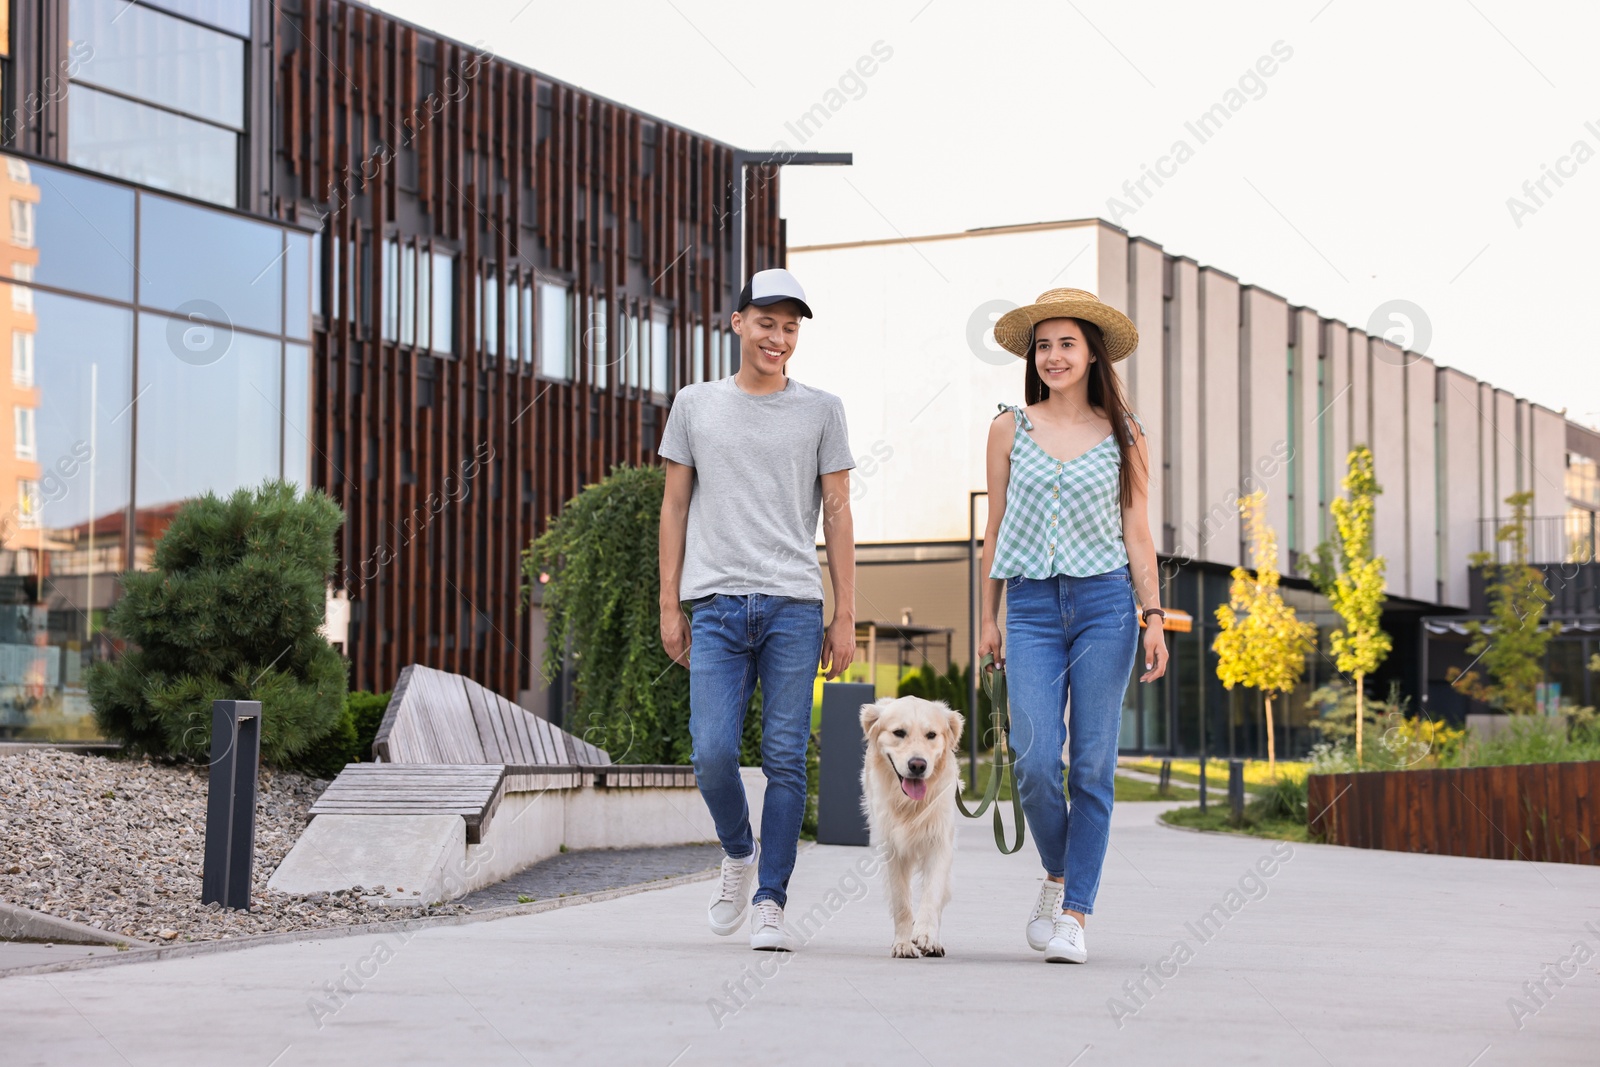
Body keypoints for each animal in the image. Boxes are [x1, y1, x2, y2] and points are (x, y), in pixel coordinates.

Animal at [864, 694, 960, 959]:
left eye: (931, 735)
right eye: (899, 732)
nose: (918, 765)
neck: (910, 805)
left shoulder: (940, 843)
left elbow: (932, 894)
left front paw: (926, 935)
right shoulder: (893, 850)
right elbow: (901, 902)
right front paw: (903, 944)